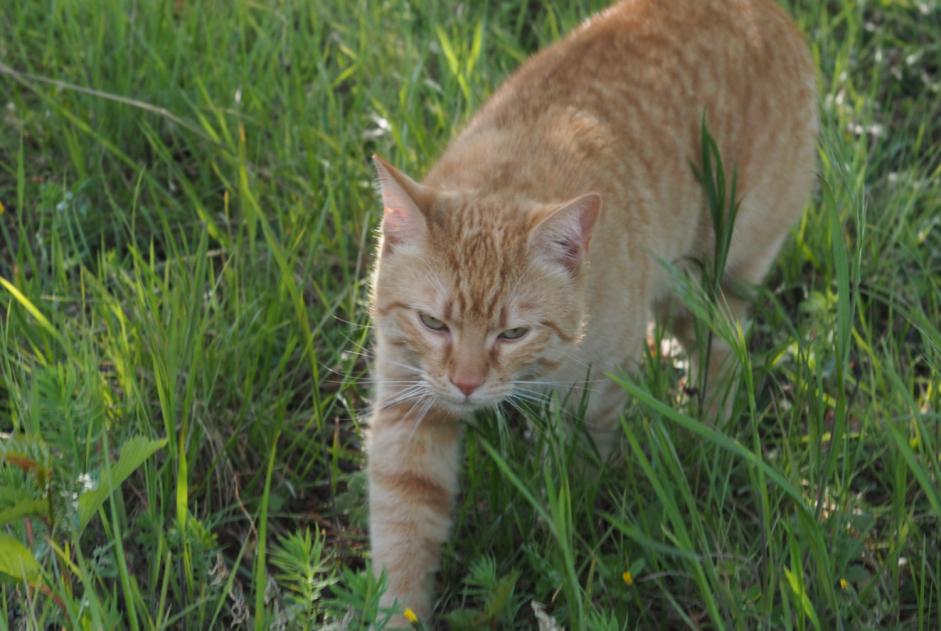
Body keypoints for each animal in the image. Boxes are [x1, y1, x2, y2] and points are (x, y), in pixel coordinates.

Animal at [366, 0, 816, 624]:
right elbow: (403, 525)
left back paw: (705, 431)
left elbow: (575, 475)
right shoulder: (409, 400)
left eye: (513, 333)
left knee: (725, 353)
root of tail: (766, 12)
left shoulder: (596, 391)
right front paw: (394, 611)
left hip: (719, 274)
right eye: (433, 323)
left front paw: (556, 538)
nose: (466, 384)